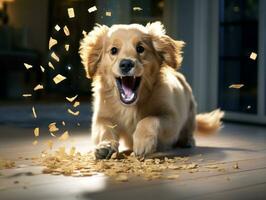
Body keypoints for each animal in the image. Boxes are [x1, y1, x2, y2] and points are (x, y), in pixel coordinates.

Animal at [79, 21, 224, 159]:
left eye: (140, 48)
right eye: (113, 50)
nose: (126, 64)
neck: (130, 106)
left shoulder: (172, 118)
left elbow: (149, 119)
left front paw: (142, 141)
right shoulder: (102, 117)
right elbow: (105, 129)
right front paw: (105, 145)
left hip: (190, 111)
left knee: (188, 129)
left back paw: (187, 140)